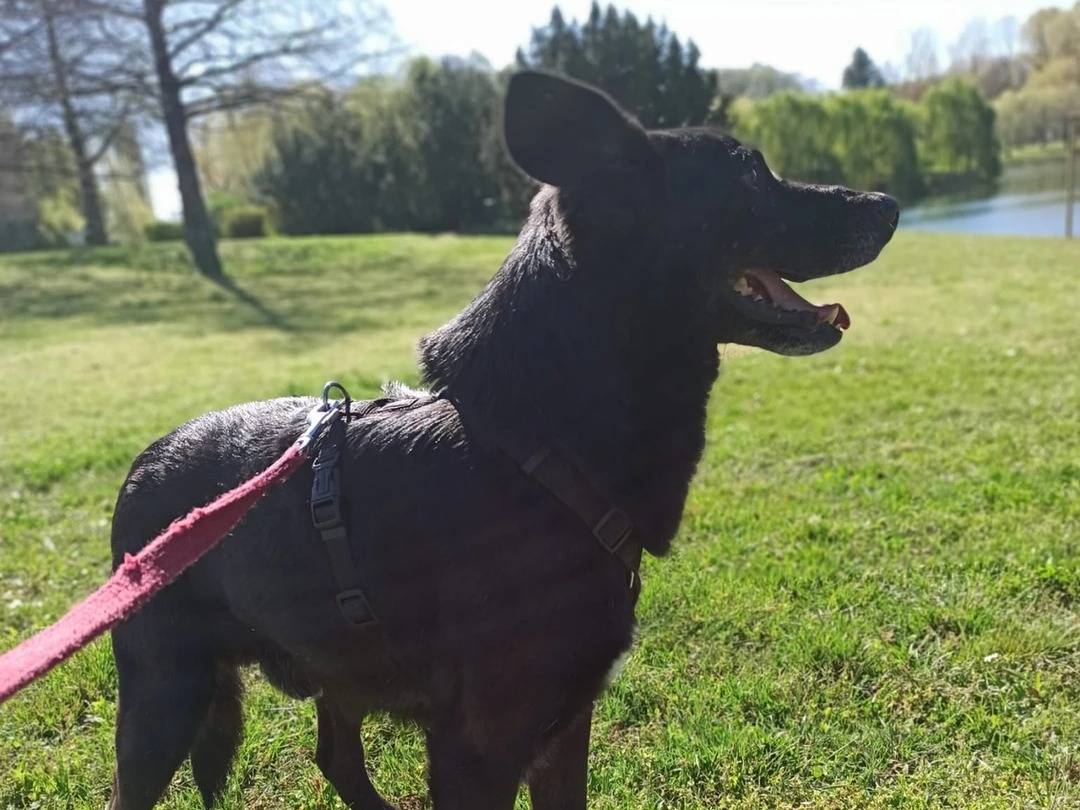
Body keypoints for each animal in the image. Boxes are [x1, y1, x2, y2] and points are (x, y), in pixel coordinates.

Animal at [107, 72, 894, 807]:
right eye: (751, 174)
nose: (888, 205)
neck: (532, 452)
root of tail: (144, 463)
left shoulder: (562, 731)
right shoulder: (477, 751)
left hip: (332, 669)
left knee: (336, 758)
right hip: (164, 697)